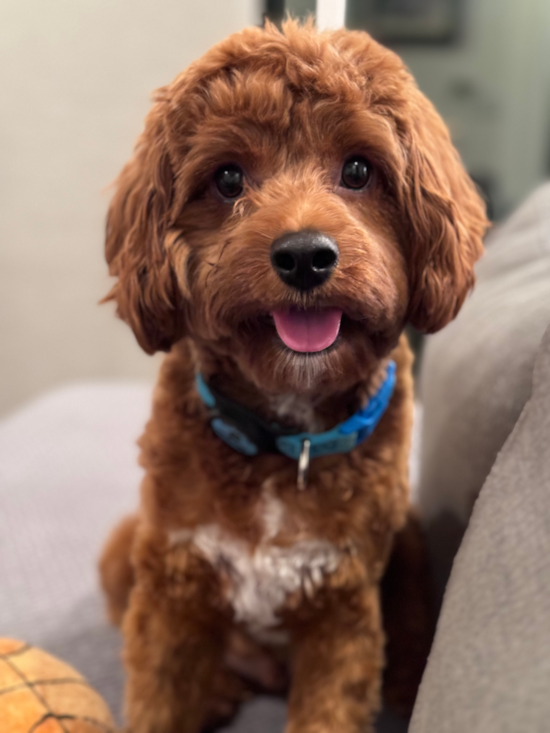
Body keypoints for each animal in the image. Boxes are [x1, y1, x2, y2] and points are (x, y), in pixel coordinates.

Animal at [99, 20, 488, 732]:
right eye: (228, 178)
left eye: (359, 169)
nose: (305, 256)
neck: (286, 438)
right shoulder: (171, 590)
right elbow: (157, 699)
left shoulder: (342, 611)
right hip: (126, 549)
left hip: (409, 539)